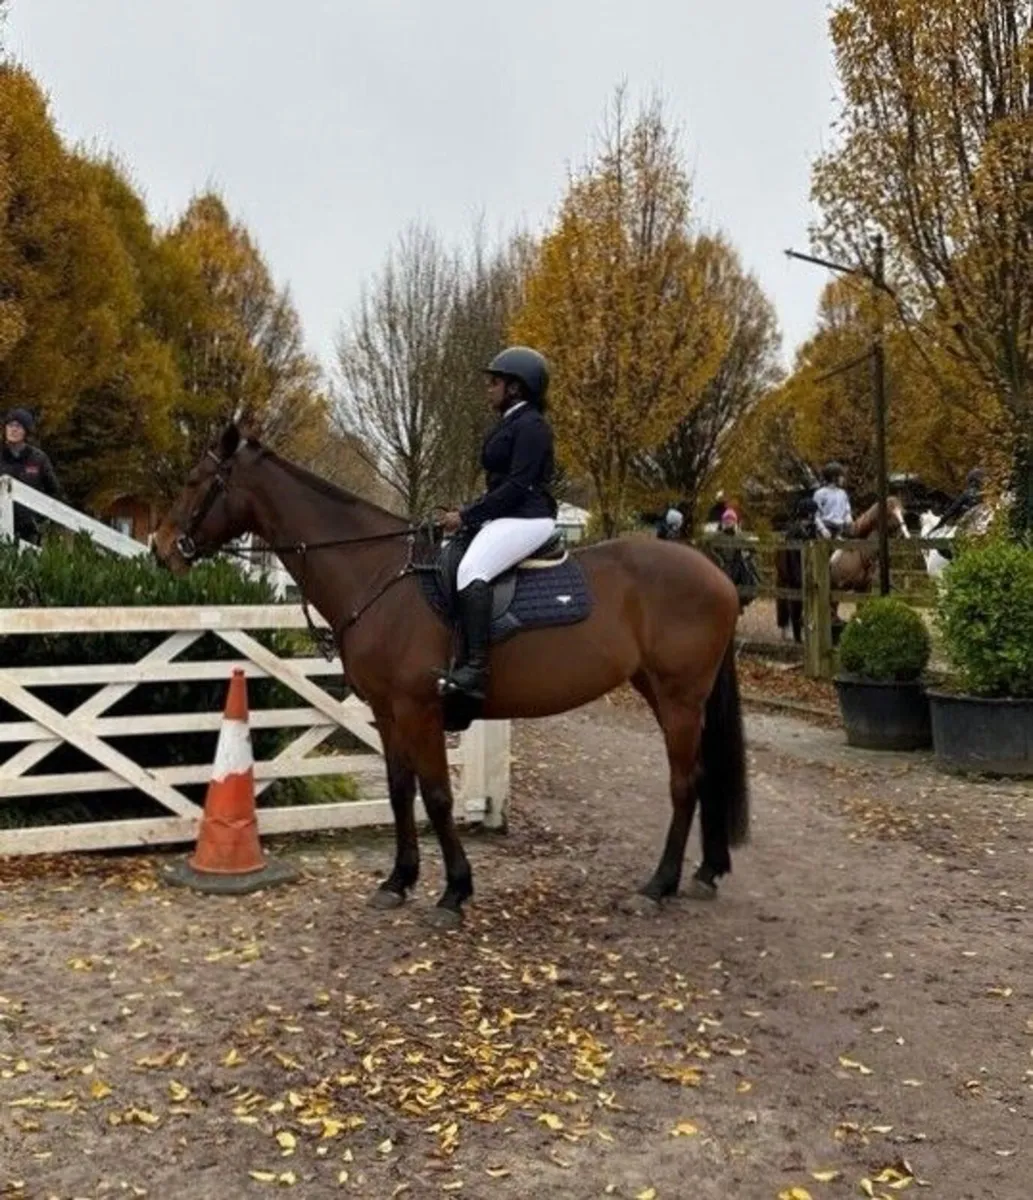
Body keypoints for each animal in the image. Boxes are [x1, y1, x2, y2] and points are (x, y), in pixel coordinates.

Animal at [152, 424, 750, 929]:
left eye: (195, 480)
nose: (161, 548)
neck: (378, 574)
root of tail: (714, 572)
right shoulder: (387, 710)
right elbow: (400, 791)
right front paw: (398, 881)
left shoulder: (419, 709)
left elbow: (437, 795)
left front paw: (454, 891)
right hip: (662, 692)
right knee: (703, 777)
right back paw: (704, 872)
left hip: (679, 699)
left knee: (685, 782)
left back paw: (658, 886)